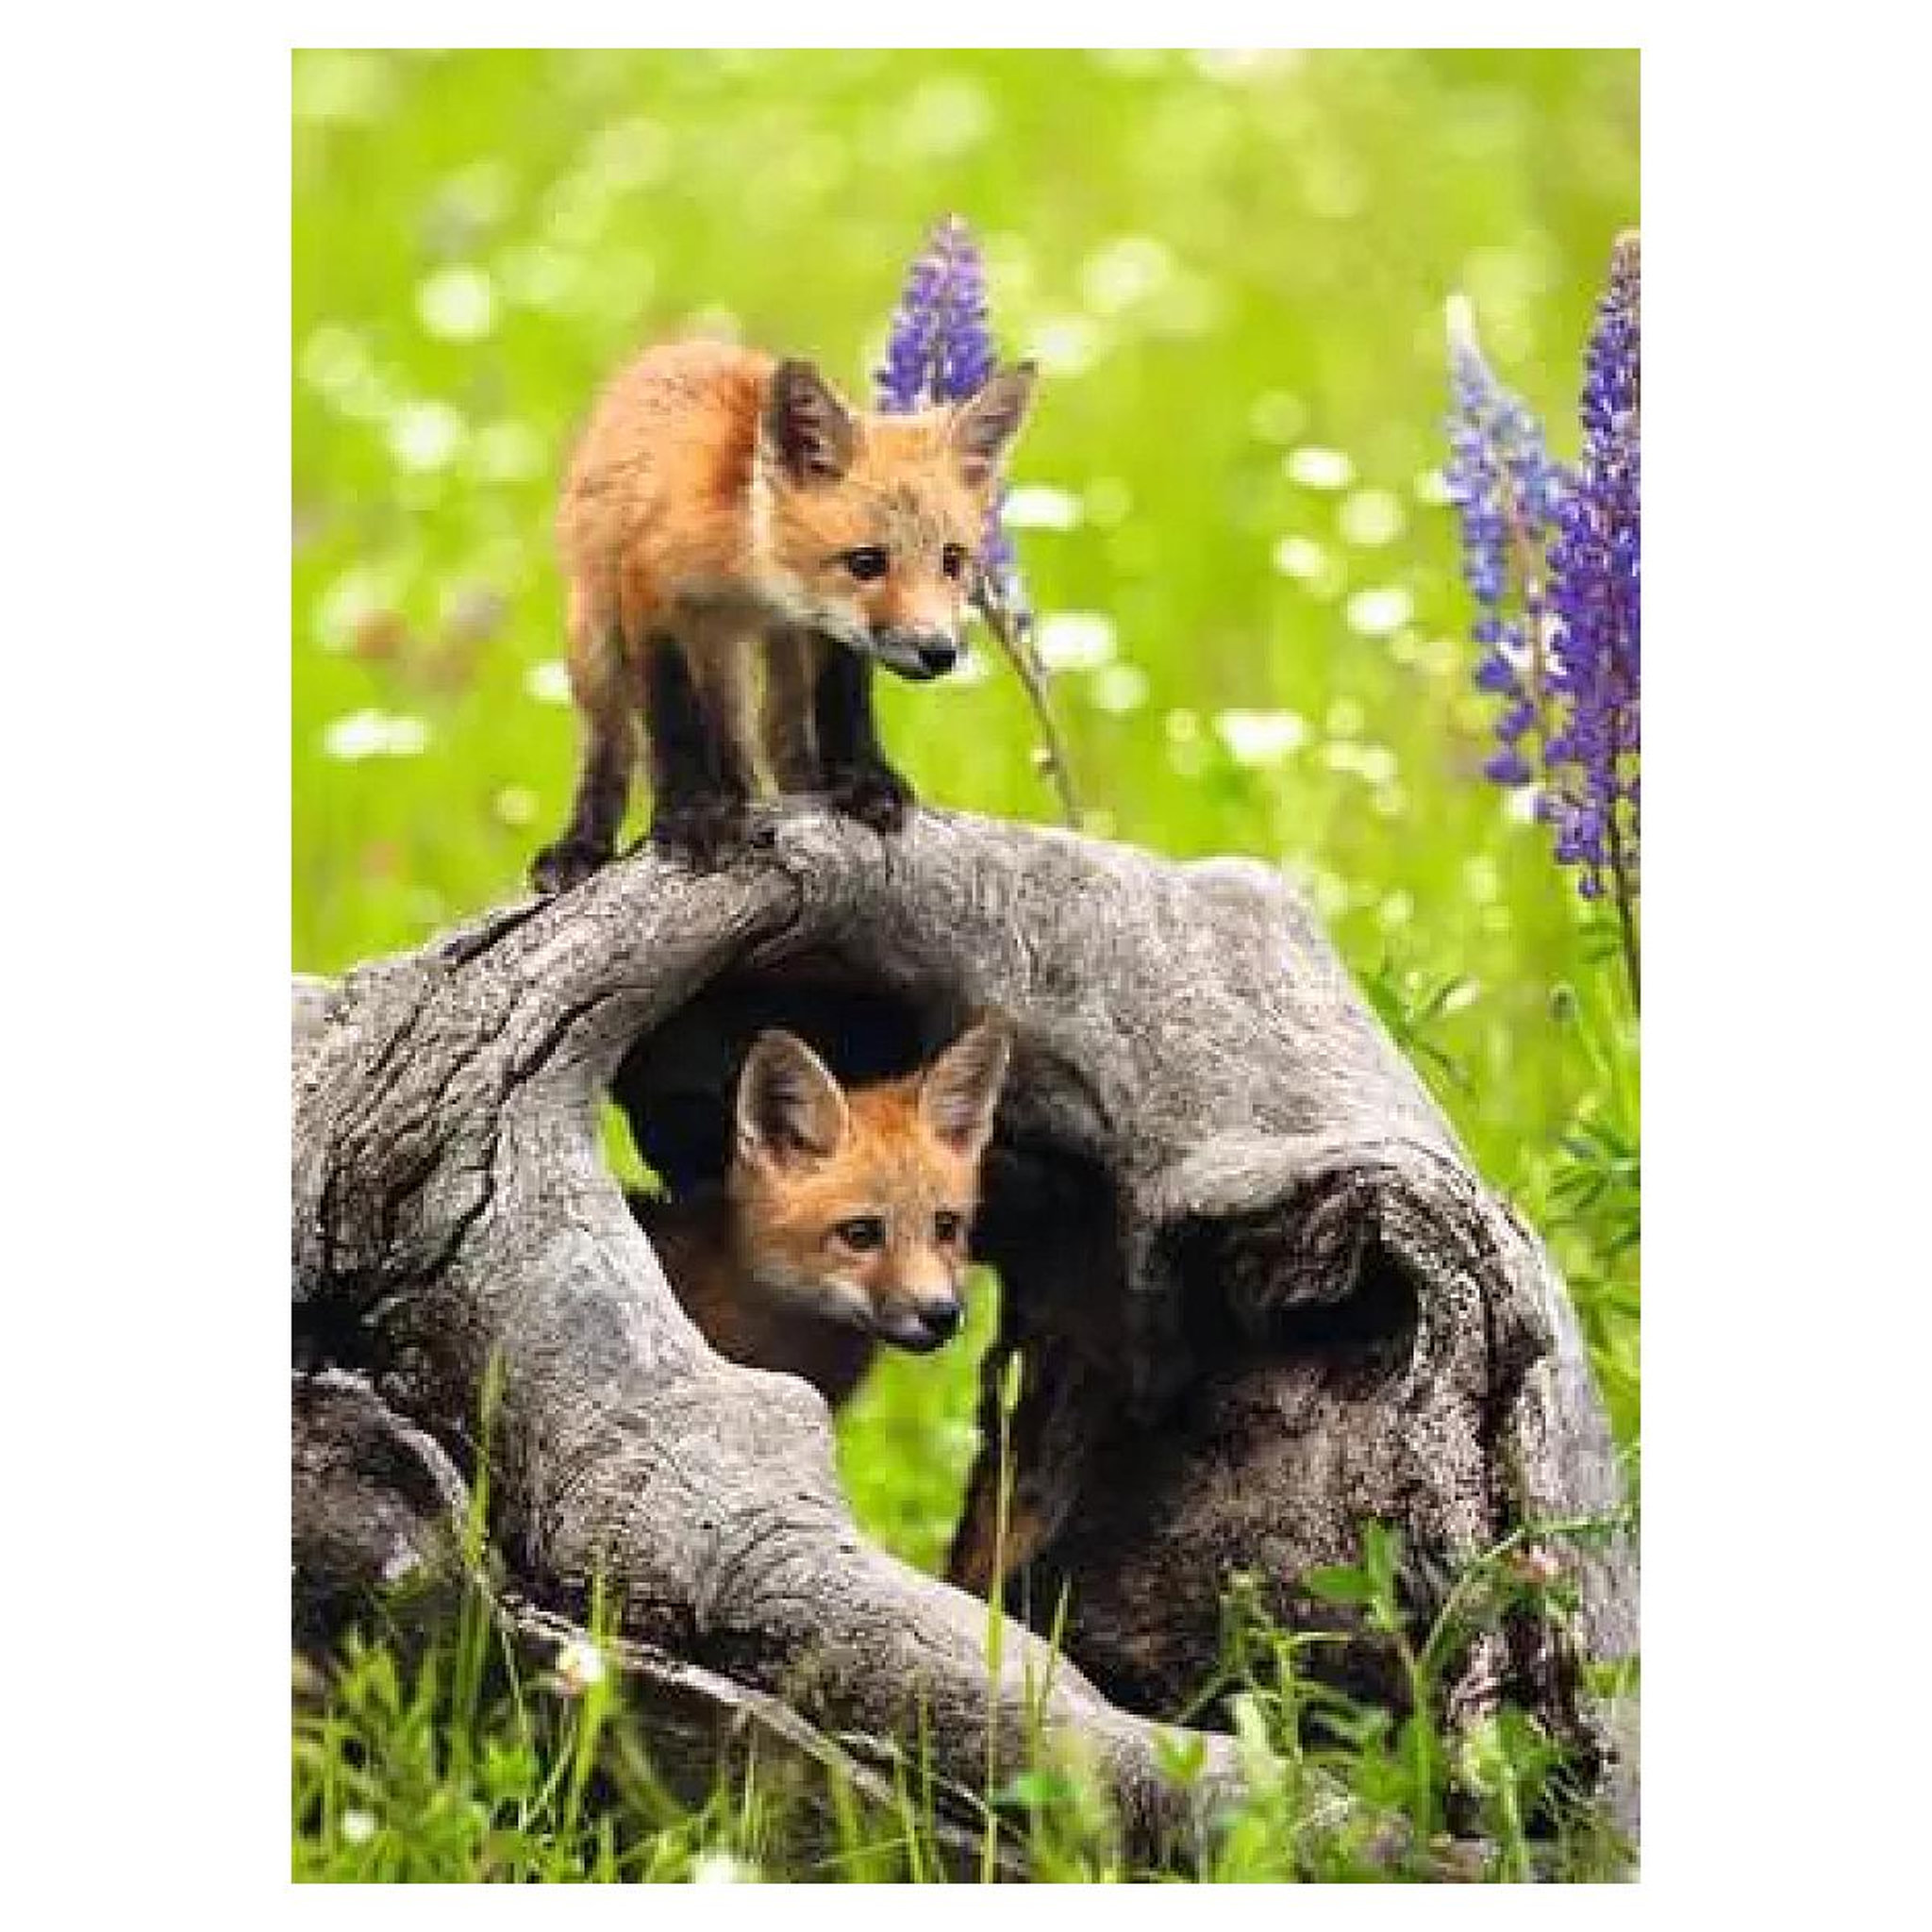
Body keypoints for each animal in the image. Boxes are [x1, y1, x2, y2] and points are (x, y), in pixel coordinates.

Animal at [531, 339, 1038, 894]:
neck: (751, 570)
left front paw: (866, 781)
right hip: (597, 639)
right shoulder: (648, 589)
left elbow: (845, 706)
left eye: (952, 560)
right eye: (866, 562)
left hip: (777, 663)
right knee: (611, 746)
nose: (940, 652)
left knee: (777, 741)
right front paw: (692, 815)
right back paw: (583, 845)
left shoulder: (828, 631)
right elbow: (673, 719)